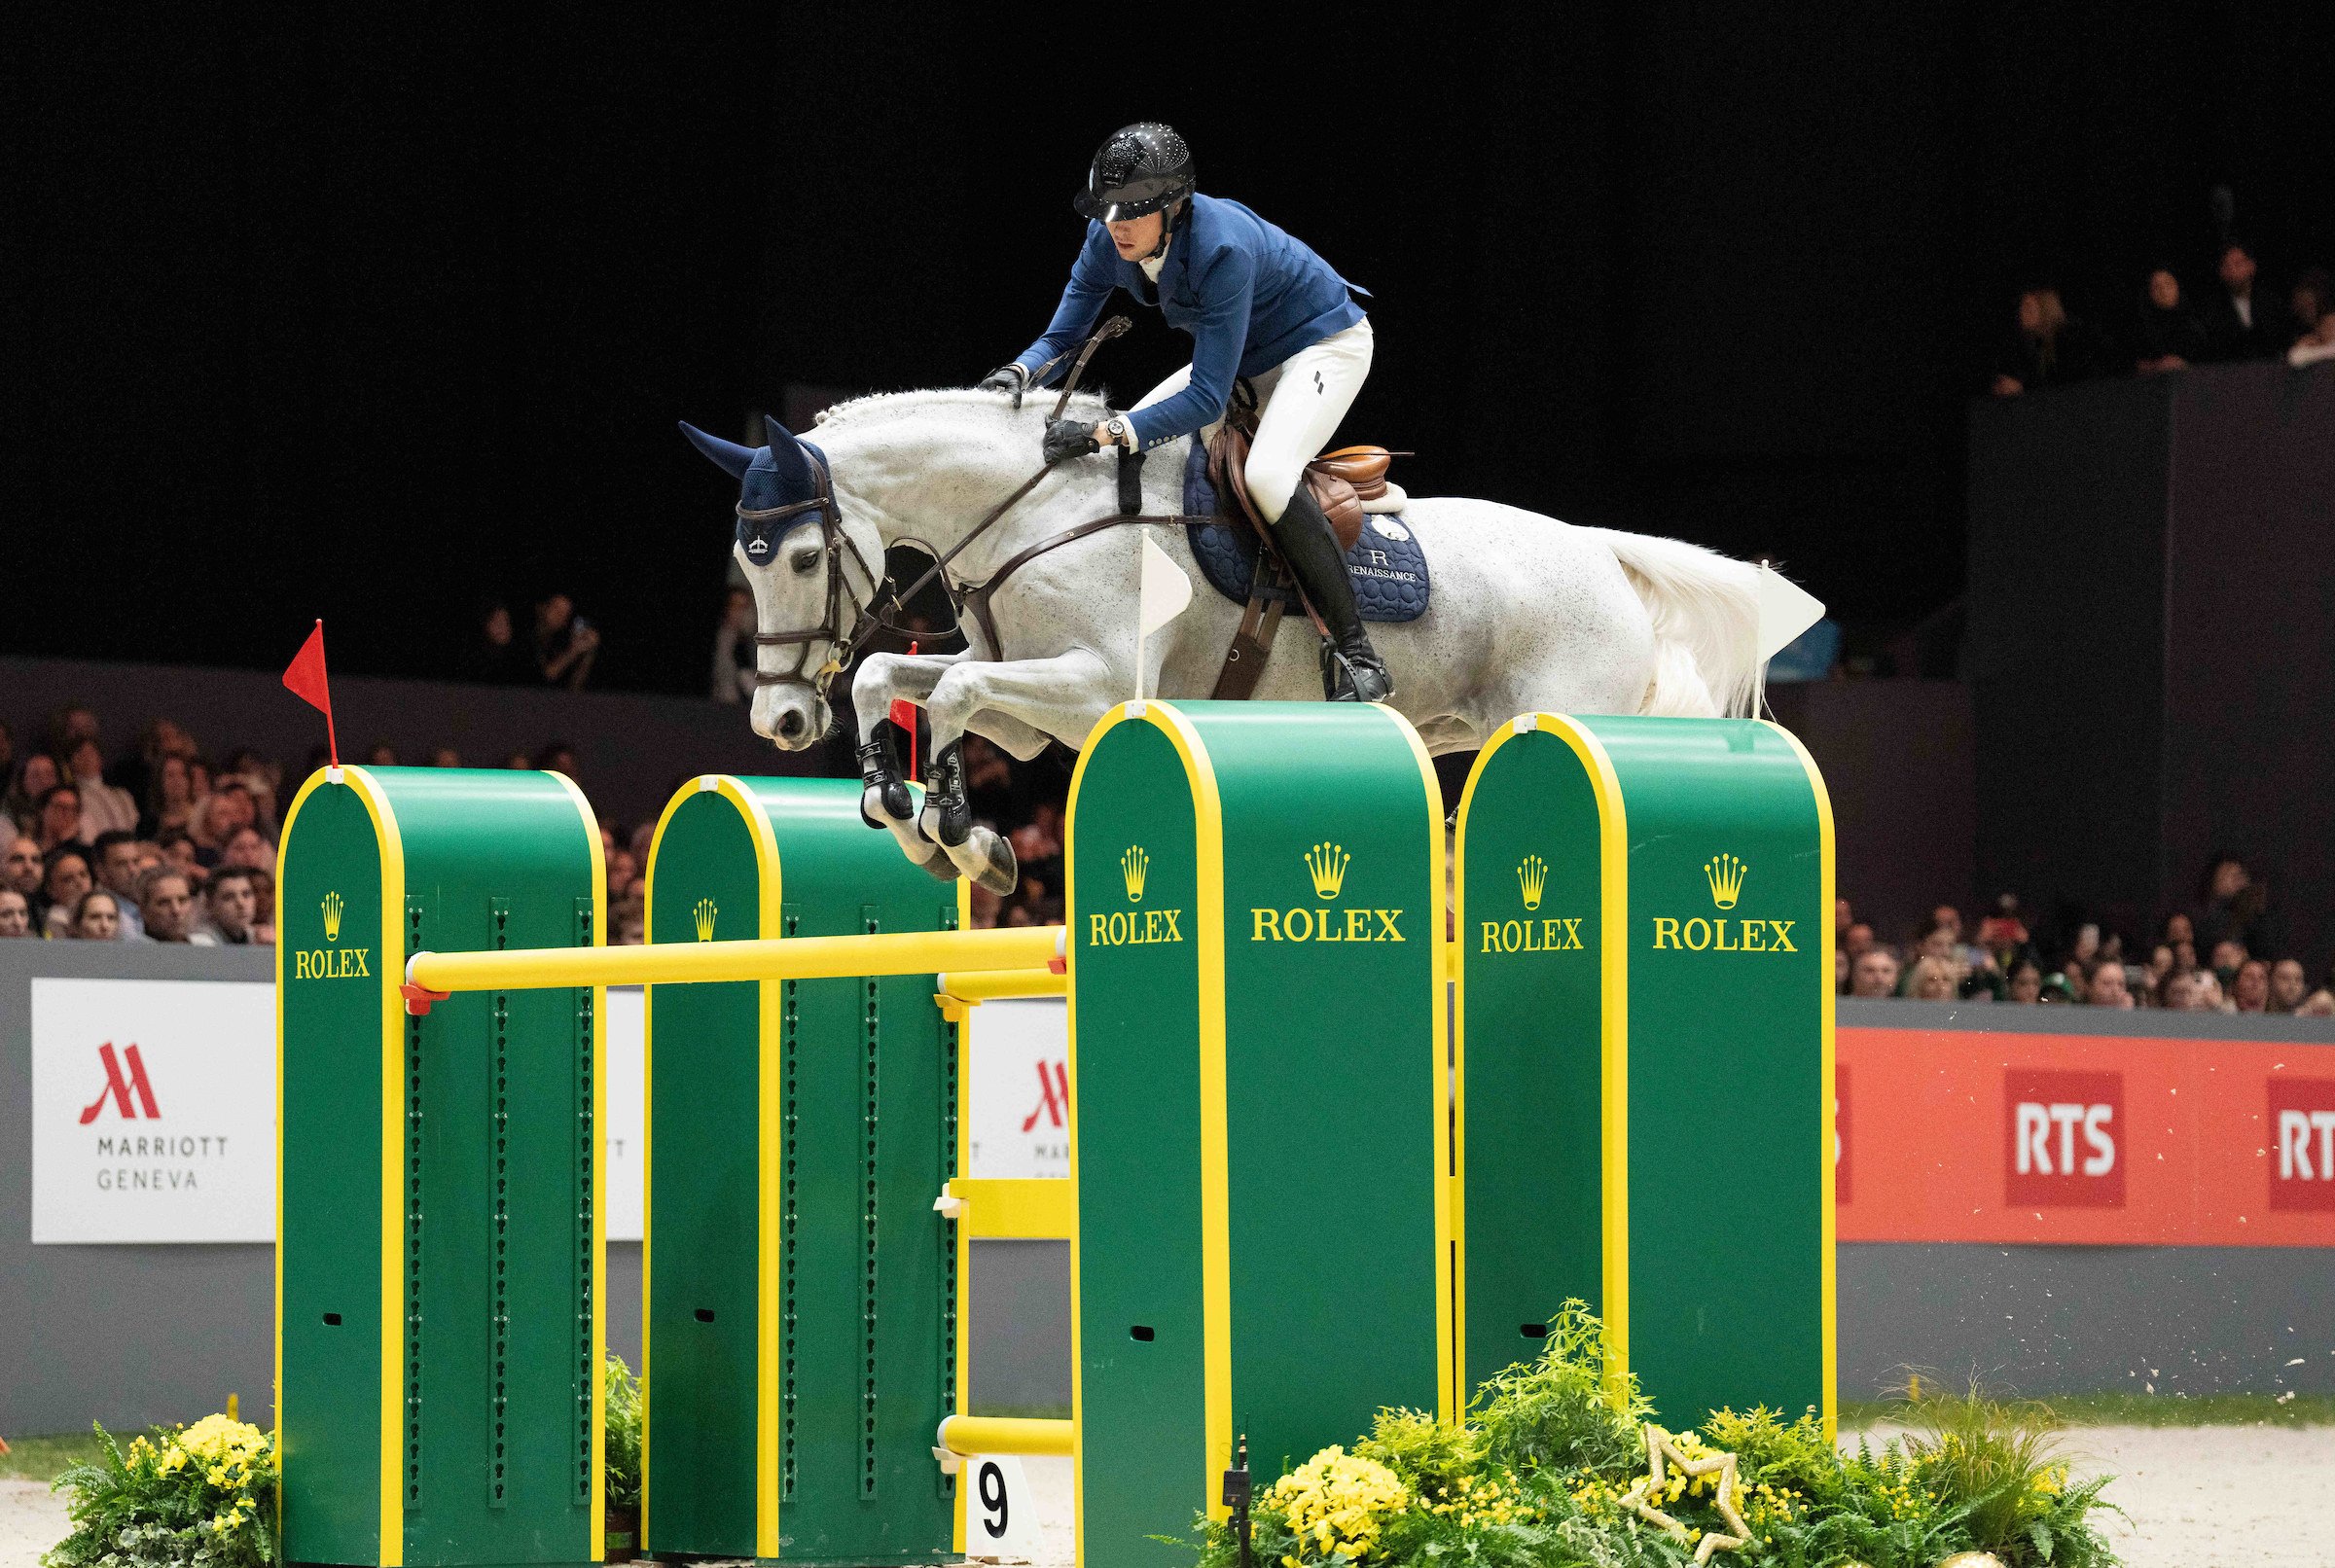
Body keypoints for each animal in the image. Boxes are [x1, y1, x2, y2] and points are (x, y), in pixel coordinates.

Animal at [686, 389, 1765, 896]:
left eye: (801, 556)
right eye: (741, 563)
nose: (782, 720)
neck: (1035, 512)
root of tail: (1600, 550)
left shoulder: (1094, 687)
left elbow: (942, 696)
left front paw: (958, 829)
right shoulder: (1025, 702)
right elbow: (888, 677)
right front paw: (936, 831)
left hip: (1560, 709)